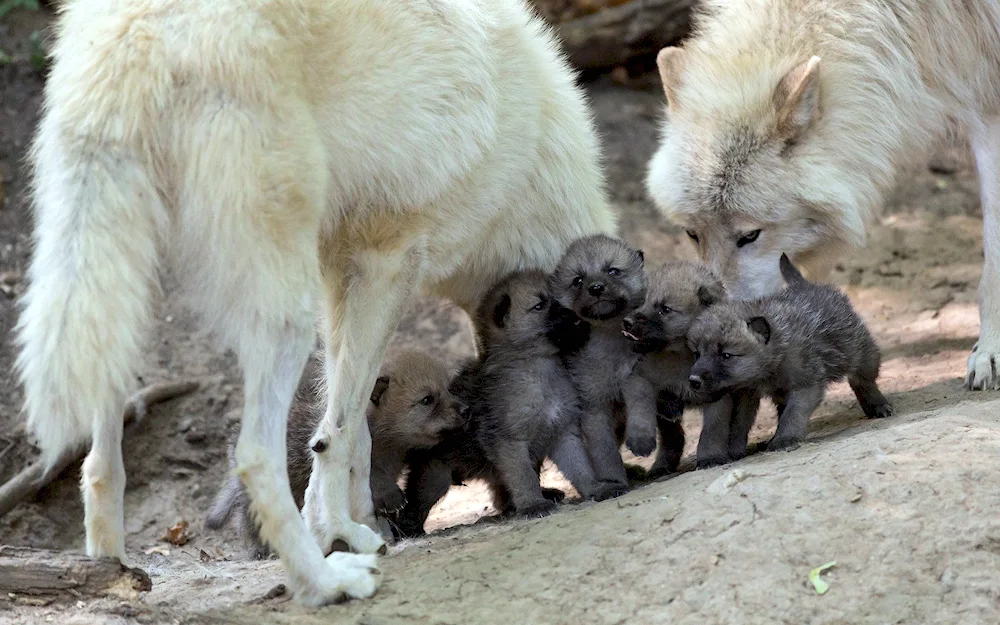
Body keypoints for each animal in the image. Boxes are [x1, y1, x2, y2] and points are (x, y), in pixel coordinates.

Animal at [15, 0, 612, 604]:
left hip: (124, 294)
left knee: (97, 460)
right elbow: (339, 430)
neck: (530, 157)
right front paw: (340, 532)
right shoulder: (386, 265)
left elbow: (351, 426)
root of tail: (140, 28)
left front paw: (360, 523)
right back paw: (323, 582)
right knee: (253, 457)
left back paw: (108, 572)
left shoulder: (338, 275)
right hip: (284, 319)